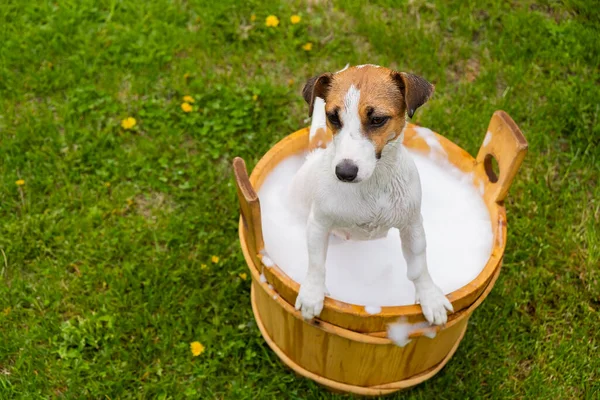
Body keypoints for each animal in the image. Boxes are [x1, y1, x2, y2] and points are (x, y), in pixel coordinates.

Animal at [292, 63, 454, 324]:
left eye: (377, 119)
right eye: (333, 117)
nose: (344, 172)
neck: (372, 186)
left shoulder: (412, 226)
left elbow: (419, 266)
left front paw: (430, 296)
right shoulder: (318, 224)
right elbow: (316, 263)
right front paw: (312, 293)